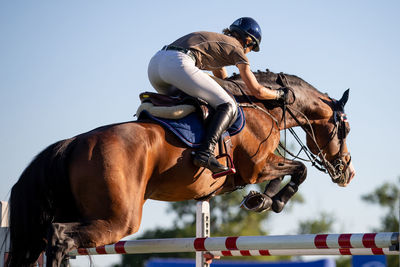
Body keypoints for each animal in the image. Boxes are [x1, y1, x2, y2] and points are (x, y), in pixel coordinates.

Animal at [4, 70, 354, 266]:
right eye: (345, 129)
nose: (347, 173)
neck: (262, 107)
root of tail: (72, 143)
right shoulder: (256, 167)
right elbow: (299, 170)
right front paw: (271, 200)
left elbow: (294, 170)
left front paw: (261, 199)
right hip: (119, 219)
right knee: (59, 237)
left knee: (47, 240)